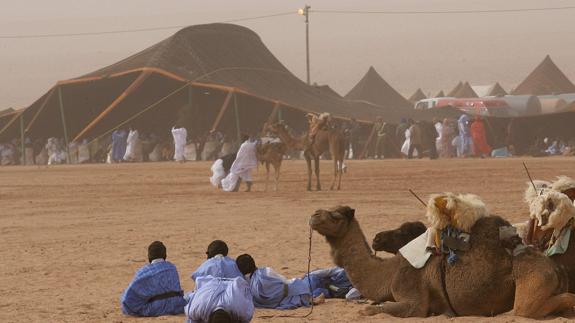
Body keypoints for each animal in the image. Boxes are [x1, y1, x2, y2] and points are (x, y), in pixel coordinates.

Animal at [312, 205, 575, 318]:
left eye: (335, 215)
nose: (313, 215)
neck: (390, 271)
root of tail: (556, 268)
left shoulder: (411, 293)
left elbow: (372, 309)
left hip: (534, 279)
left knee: (528, 308)